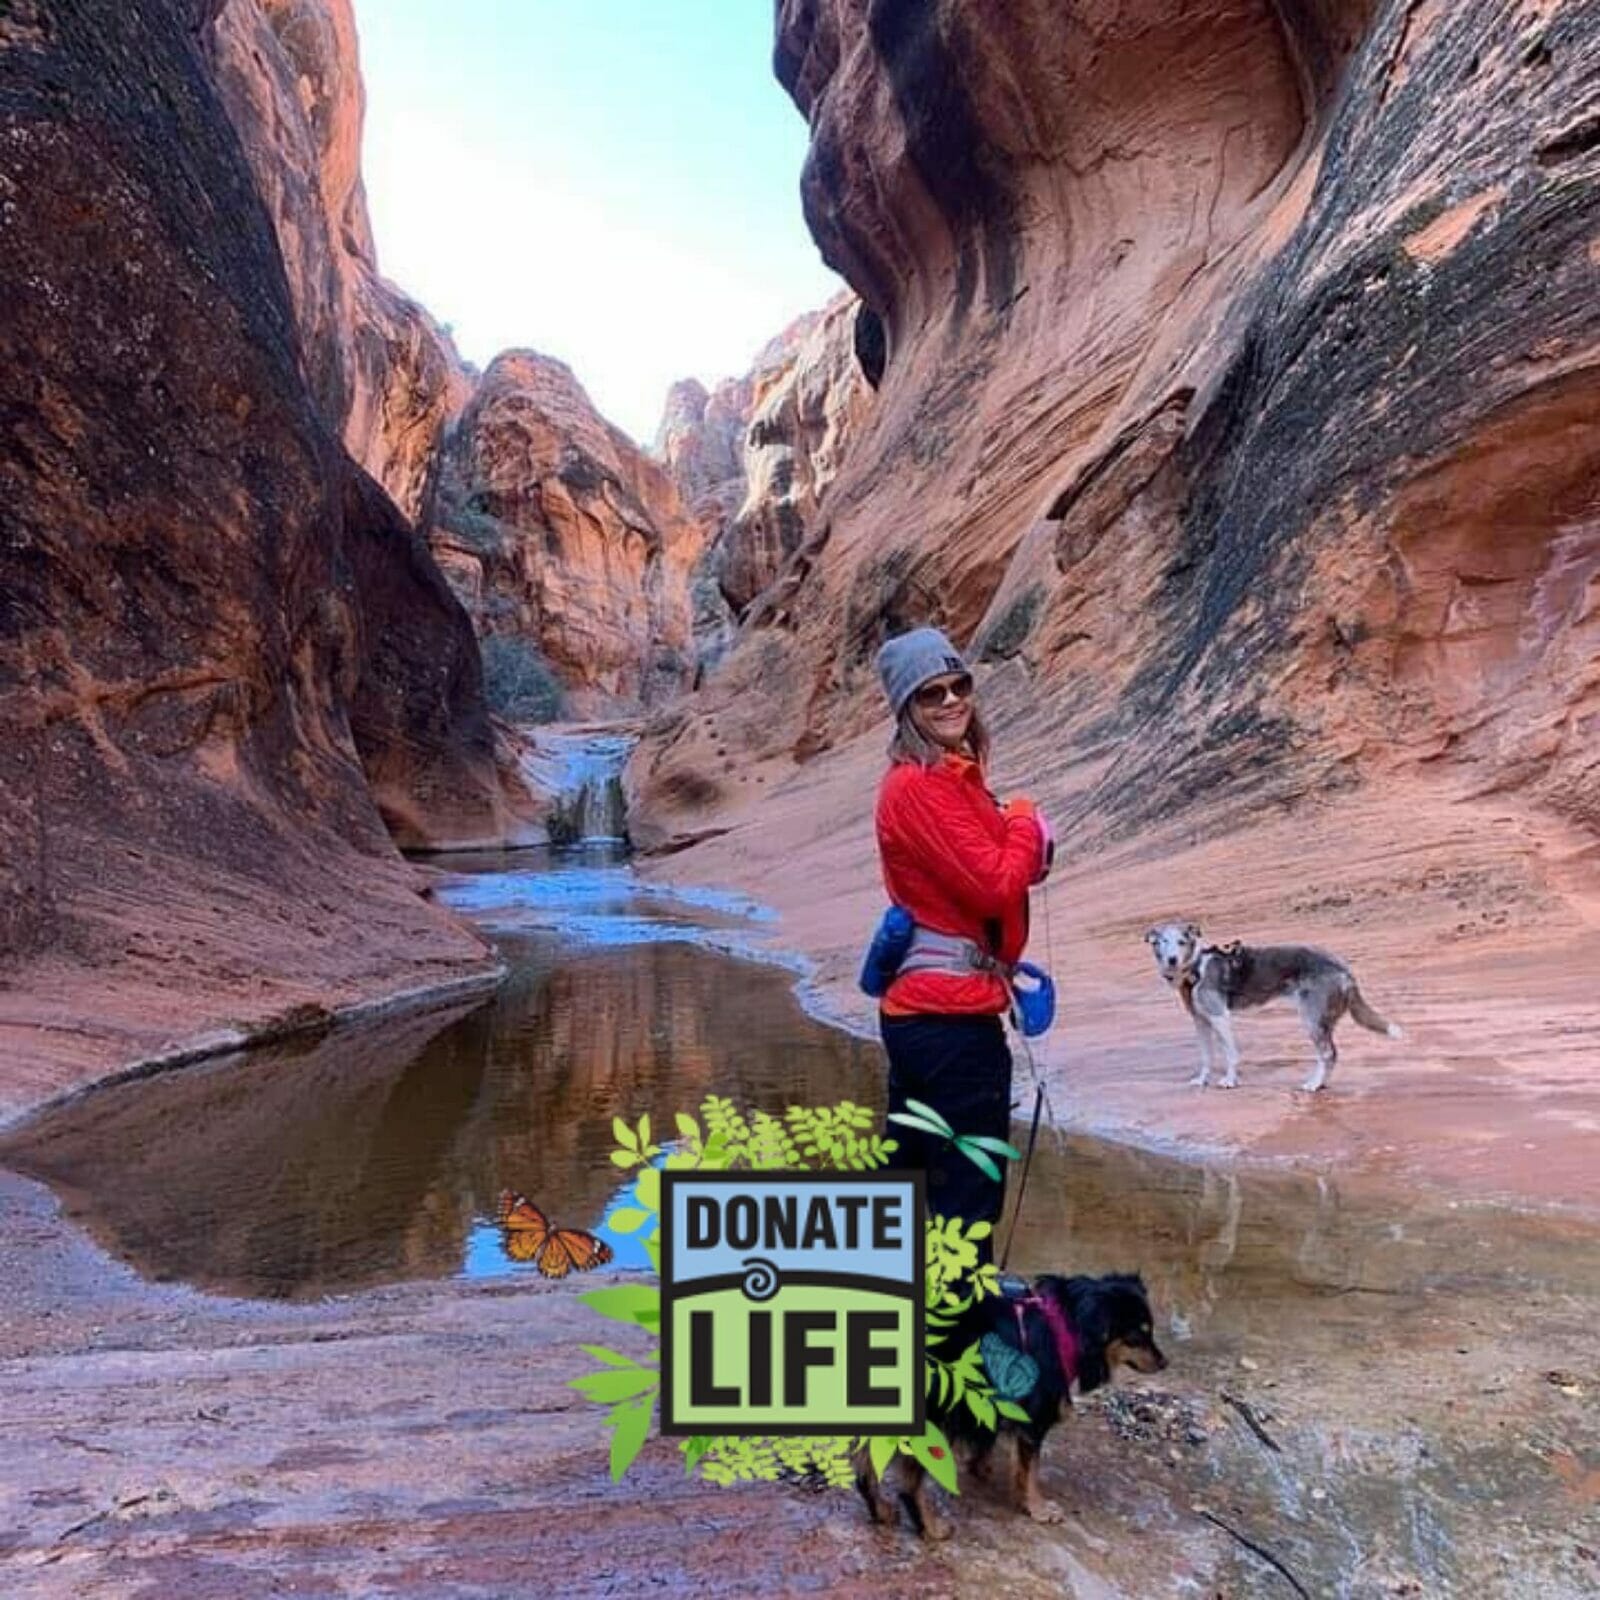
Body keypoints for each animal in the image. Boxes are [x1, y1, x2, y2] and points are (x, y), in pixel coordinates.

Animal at [864, 1273, 1164, 1536]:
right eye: (1139, 1334)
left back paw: (881, 1510)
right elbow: (1031, 1470)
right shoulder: (1035, 1416)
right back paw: (931, 1528)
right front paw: (1038, 1509)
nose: (1165, 1362)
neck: (1063, 1327)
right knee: (908, 1482)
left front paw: (980, 1468)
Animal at [1152, 921, 1401, 1094]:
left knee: (1328, 1053)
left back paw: (1313, 1085)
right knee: (1330, 1054)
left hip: (1311, 1018)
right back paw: (1319, 1084)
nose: (1172, 959)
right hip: (1321, 1020)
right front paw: (1202, 1080)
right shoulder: (1201, 1021)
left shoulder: (1219, 1016)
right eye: (1162, 942)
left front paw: (1230, 1081)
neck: (1195, 966)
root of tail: (1344, 968)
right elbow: (1206, 1056)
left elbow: (1230, 1054)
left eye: (1181, 942)